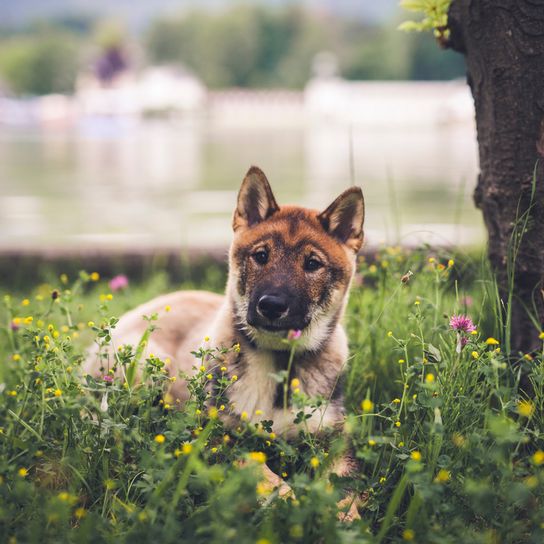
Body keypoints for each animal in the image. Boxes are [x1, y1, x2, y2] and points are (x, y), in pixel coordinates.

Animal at [84, 168, 366, 520]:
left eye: (313, 264)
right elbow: (264, 476)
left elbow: (344, 484)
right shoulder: (218, 435)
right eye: (261, 256)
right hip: (149, 367)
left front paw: (344, 518)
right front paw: (290, 503)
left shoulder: (334, 437)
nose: (271, 305)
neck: (278, 364)